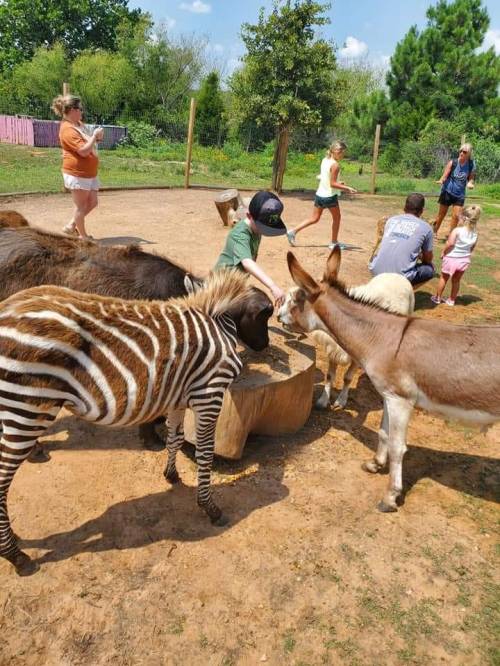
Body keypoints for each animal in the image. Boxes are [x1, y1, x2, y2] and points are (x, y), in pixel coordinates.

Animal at [0, 270, 273, 575]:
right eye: (265, 318)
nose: (266, 347)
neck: (216, 320)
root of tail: (9, 307)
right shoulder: (209, 393)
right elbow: (204, 452)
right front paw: (210, 507)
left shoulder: (179, 395)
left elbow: (175, 437)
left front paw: (171, 475)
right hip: (26, 408)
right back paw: (16, 556)